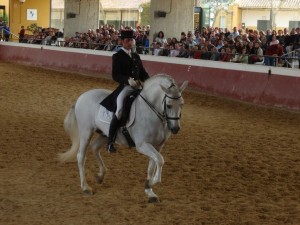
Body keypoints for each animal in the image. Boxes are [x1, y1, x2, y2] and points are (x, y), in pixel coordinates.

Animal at [58, 74, 188, 202]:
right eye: (169, 105)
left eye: (182, 104)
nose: (175, 129)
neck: (151, 112)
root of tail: (81, 97)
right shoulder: (142, 145)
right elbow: (160, 160)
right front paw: (153, 182)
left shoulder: (157, 146)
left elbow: (154, 164)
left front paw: (149, 190)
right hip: (86, 131)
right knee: (81, 157)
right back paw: (85, 187)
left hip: (105, 134)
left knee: (94, 147)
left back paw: (100, 175)